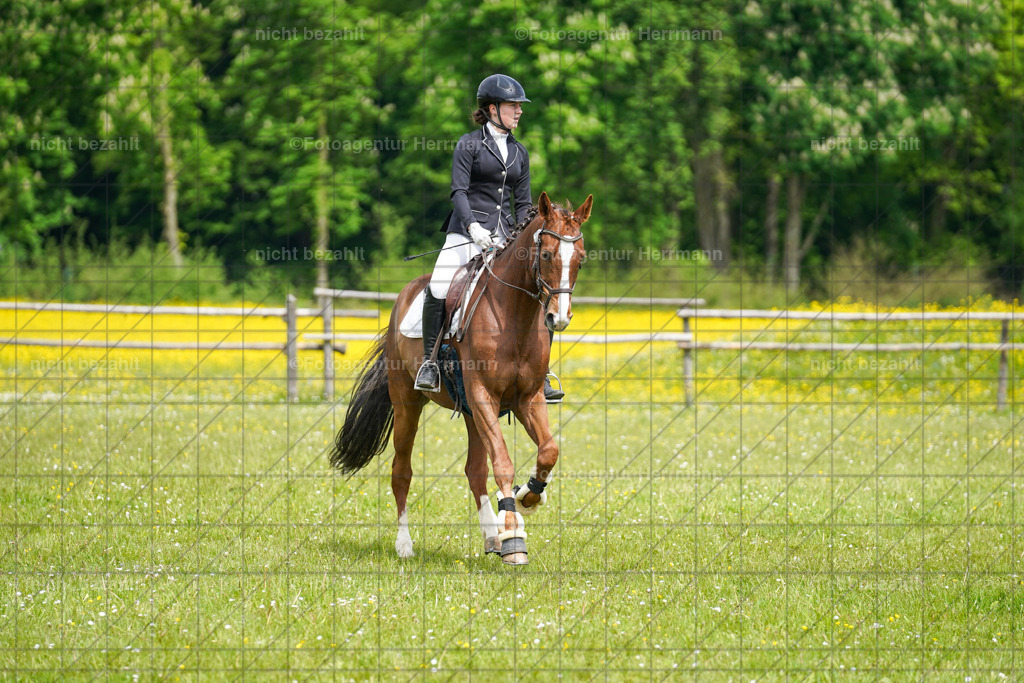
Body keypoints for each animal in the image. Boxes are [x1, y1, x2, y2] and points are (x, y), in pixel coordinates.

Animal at [329, 191, 592, 565]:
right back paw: (405, 545)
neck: (514, 316)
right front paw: (514, 537)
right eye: (545, 255)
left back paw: (492, 537)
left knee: (474, 470)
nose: (559, 318)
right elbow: (503, 463)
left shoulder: (526, 399)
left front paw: (527, 496)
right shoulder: (483, 396)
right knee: (402, 470)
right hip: (408, 403)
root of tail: (403, 297)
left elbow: (548, 451)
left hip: (470, 411)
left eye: (580, 259)